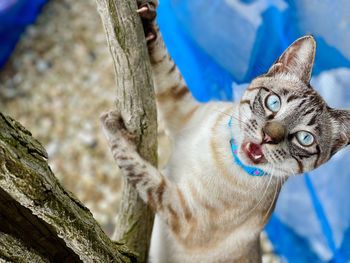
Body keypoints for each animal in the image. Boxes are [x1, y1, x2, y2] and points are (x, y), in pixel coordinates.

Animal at [99, 1, 350, 262]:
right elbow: (164, 63)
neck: (219, 151)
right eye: (274, 102)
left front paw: (114, 129)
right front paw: (147, 16)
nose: (268, 136)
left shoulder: (182, 213)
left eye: (305, 138)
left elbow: (142, 173)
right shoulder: (178, 107)